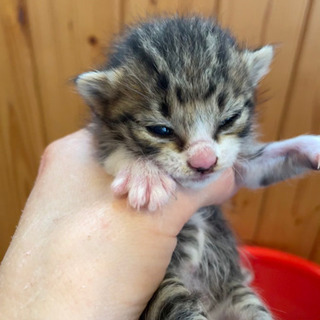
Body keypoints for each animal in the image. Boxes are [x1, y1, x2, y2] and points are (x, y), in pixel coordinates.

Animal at [75, 16, 320, 320]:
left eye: (229, 119)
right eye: (161, 130)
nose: (204, 162)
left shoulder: (241, 166)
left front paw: (312, 146)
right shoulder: (99, 138)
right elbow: (112, 151)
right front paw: (144, 175)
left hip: (237, 293)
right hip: (165, 290)